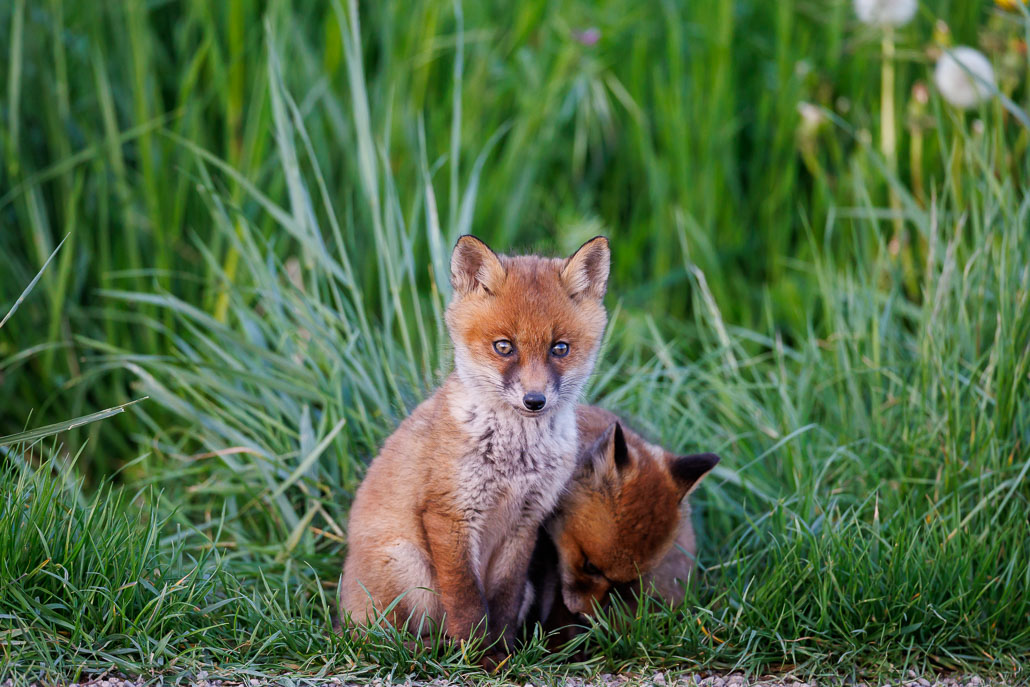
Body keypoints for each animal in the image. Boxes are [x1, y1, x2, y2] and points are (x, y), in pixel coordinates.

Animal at [339, 234, 611, 658]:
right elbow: (466, 598)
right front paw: (476, 656)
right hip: (408, 565)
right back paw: (437, 649)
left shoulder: (525, 522)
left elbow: (501, 599)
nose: (534, 401)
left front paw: (501, 653)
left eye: (560, 349)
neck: (515, 460)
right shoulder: (449, 514)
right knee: (389, 640)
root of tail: (338, 619)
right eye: (504, 346)